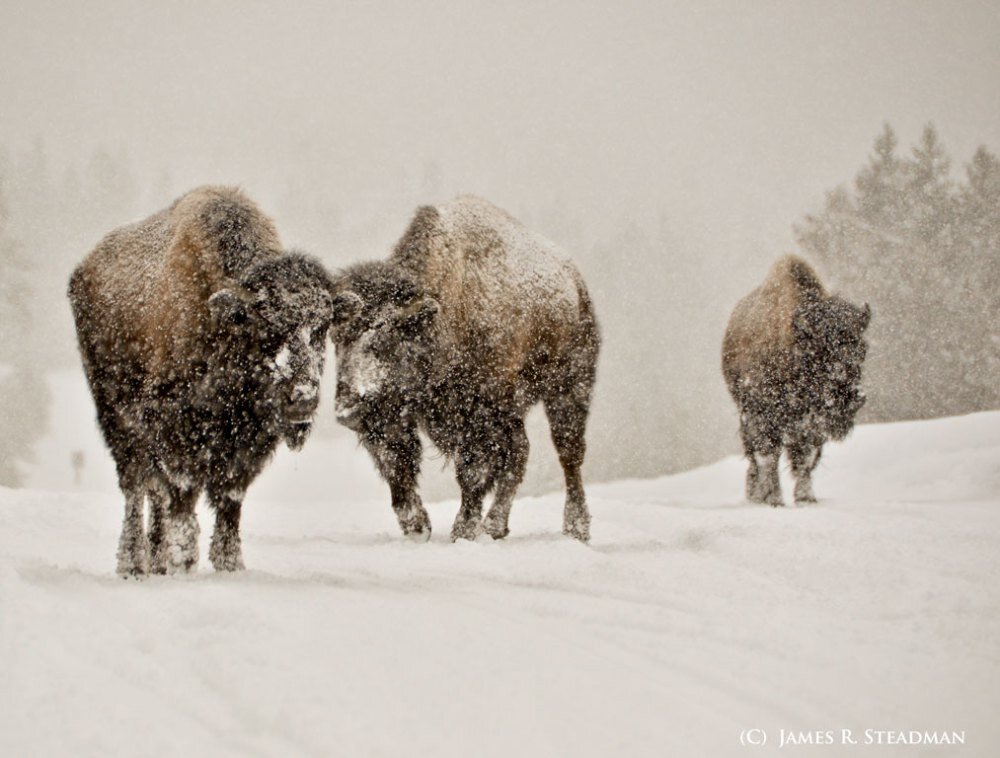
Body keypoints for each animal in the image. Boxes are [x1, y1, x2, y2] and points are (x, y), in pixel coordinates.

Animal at [69, 186, 340, 576]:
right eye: (267, 329)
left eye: (321, 329)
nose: (303, 396)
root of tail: (83, 272)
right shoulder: (175, 432)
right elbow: (182, 495)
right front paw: (183, 560)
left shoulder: (246, 447)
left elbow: (228, 501)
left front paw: (229, 564)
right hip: (115, 417)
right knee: (135, 486)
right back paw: (133, 564)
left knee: (152, 491)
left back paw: (155, 560)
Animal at [330, 193, 600, 544]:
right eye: (337, 341)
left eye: (385, 340)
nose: (347, 410)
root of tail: (576, 284)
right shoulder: (395, 417)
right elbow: (398, 467)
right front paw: (417, 527)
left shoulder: (479, 415)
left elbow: (472, 472)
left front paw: (462, 531)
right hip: (516, 412)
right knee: (521, 453)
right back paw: (496, 527)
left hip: (568, 388)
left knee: (569, 454)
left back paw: (575, 528)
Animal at [724, 258, 872, 508]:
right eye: (820, 352)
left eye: (862, 350)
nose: (850, 400)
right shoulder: (764, 417)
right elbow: (769, 457)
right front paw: (775, 500)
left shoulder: (810, 422)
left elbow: (806, 457)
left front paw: (806, 498)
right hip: (746, 415)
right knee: (755, 456)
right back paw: (756, 495)